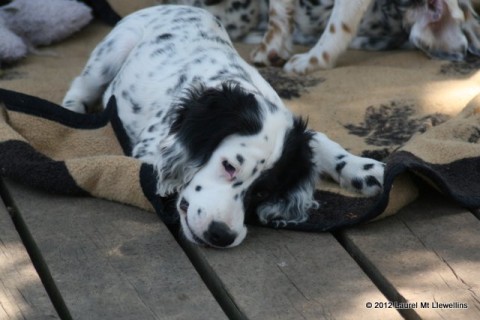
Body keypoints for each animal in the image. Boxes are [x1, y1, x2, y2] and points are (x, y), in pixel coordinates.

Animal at [62, 6, 384, 249]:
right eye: (228, 166)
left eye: (263, 193)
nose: (221, 235)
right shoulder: (148, 146)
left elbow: (321, 142)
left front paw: (367, 170)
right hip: (113, 49)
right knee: (81, 85)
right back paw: (70, 113)